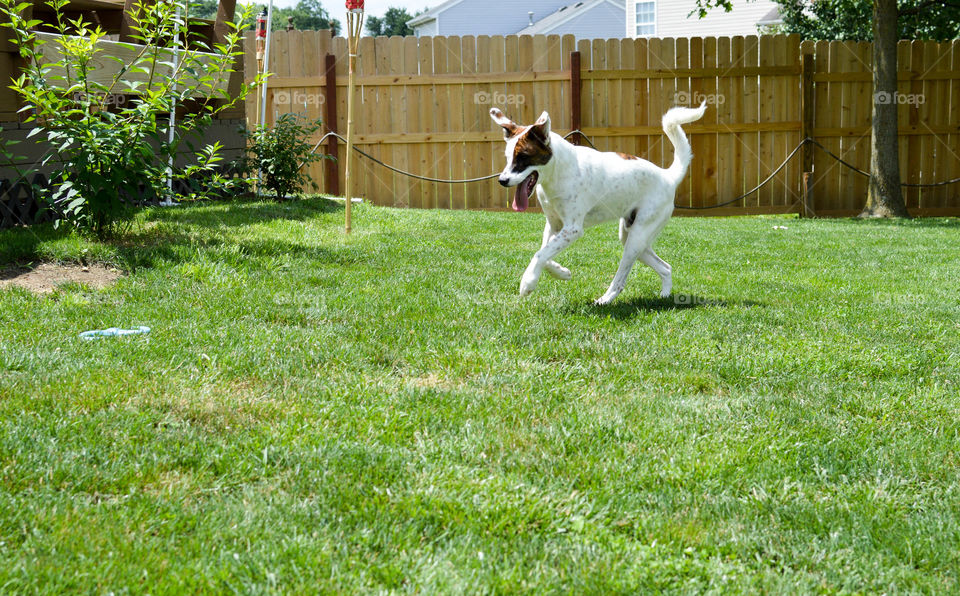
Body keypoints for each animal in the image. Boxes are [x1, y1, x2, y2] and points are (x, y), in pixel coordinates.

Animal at [496, 103, 704, 304]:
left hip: (637, 238)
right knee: (665, 267)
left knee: (620, 279)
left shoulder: (572, 229)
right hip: (631, 235)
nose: (502, 181)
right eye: (507, 157)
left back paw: (605, 300)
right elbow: (544, 254)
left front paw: (528, 282)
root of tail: (668, 176)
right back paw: (664, 296)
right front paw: (562, 273)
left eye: (523, 156)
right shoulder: (554, 226)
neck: (558, 170)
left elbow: (540, 254)